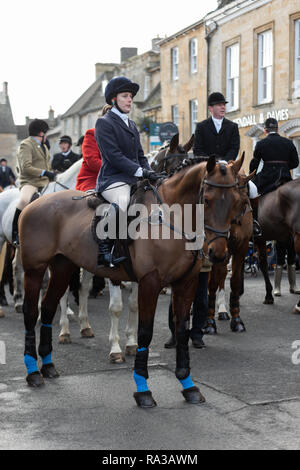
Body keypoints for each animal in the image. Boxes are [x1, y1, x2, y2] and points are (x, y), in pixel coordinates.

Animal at [19, 155, 246, 408]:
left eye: (237, 201)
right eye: (206, 200)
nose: (218, 253)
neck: (171, 218)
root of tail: (37, 201)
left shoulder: (186, 283)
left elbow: (181, 331)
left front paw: (188, 385)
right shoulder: (150, 282)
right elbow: (145, 332)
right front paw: (143, 389)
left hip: (62, 268)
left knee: (48, 309)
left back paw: (48, 365)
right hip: (35, 270)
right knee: (32, 312)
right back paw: (33, 372)